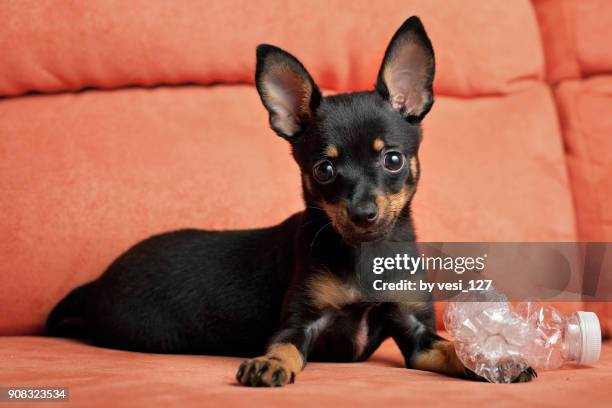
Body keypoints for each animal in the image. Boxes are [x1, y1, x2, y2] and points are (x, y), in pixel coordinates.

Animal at [47, 15, 536, 386]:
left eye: (393, 159)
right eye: (324, 170)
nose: (363, 213)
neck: (363, 256)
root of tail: (96, 282)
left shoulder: (416, 332)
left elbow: (456, 350)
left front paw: (497, 362)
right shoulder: (302, 321)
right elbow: (284, 344)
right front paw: (269, 364)